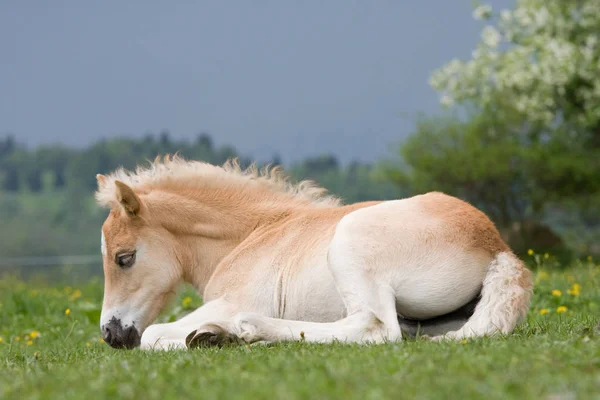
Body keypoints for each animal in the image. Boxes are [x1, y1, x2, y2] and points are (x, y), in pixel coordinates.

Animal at [96, 156, 532, 350]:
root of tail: (496, 245)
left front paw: (211, 332)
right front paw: (211, 333)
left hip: (349, 244)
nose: (111, 334)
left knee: (376, 328)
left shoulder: (234, 300)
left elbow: (153, 335)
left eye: (124, 258)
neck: (251, 235)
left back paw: (243, 331)